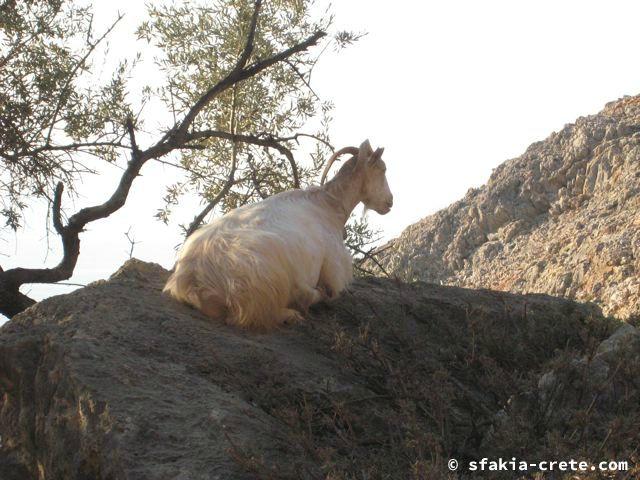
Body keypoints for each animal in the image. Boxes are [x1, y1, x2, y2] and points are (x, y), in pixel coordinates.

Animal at [162, 140, 392, 330]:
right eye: (382, 169)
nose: (390, 202)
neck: (329, 204)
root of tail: (194, 278)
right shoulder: (334, 269)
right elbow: (333, 294)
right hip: (265, 276)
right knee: (258, 313)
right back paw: (295, 308)